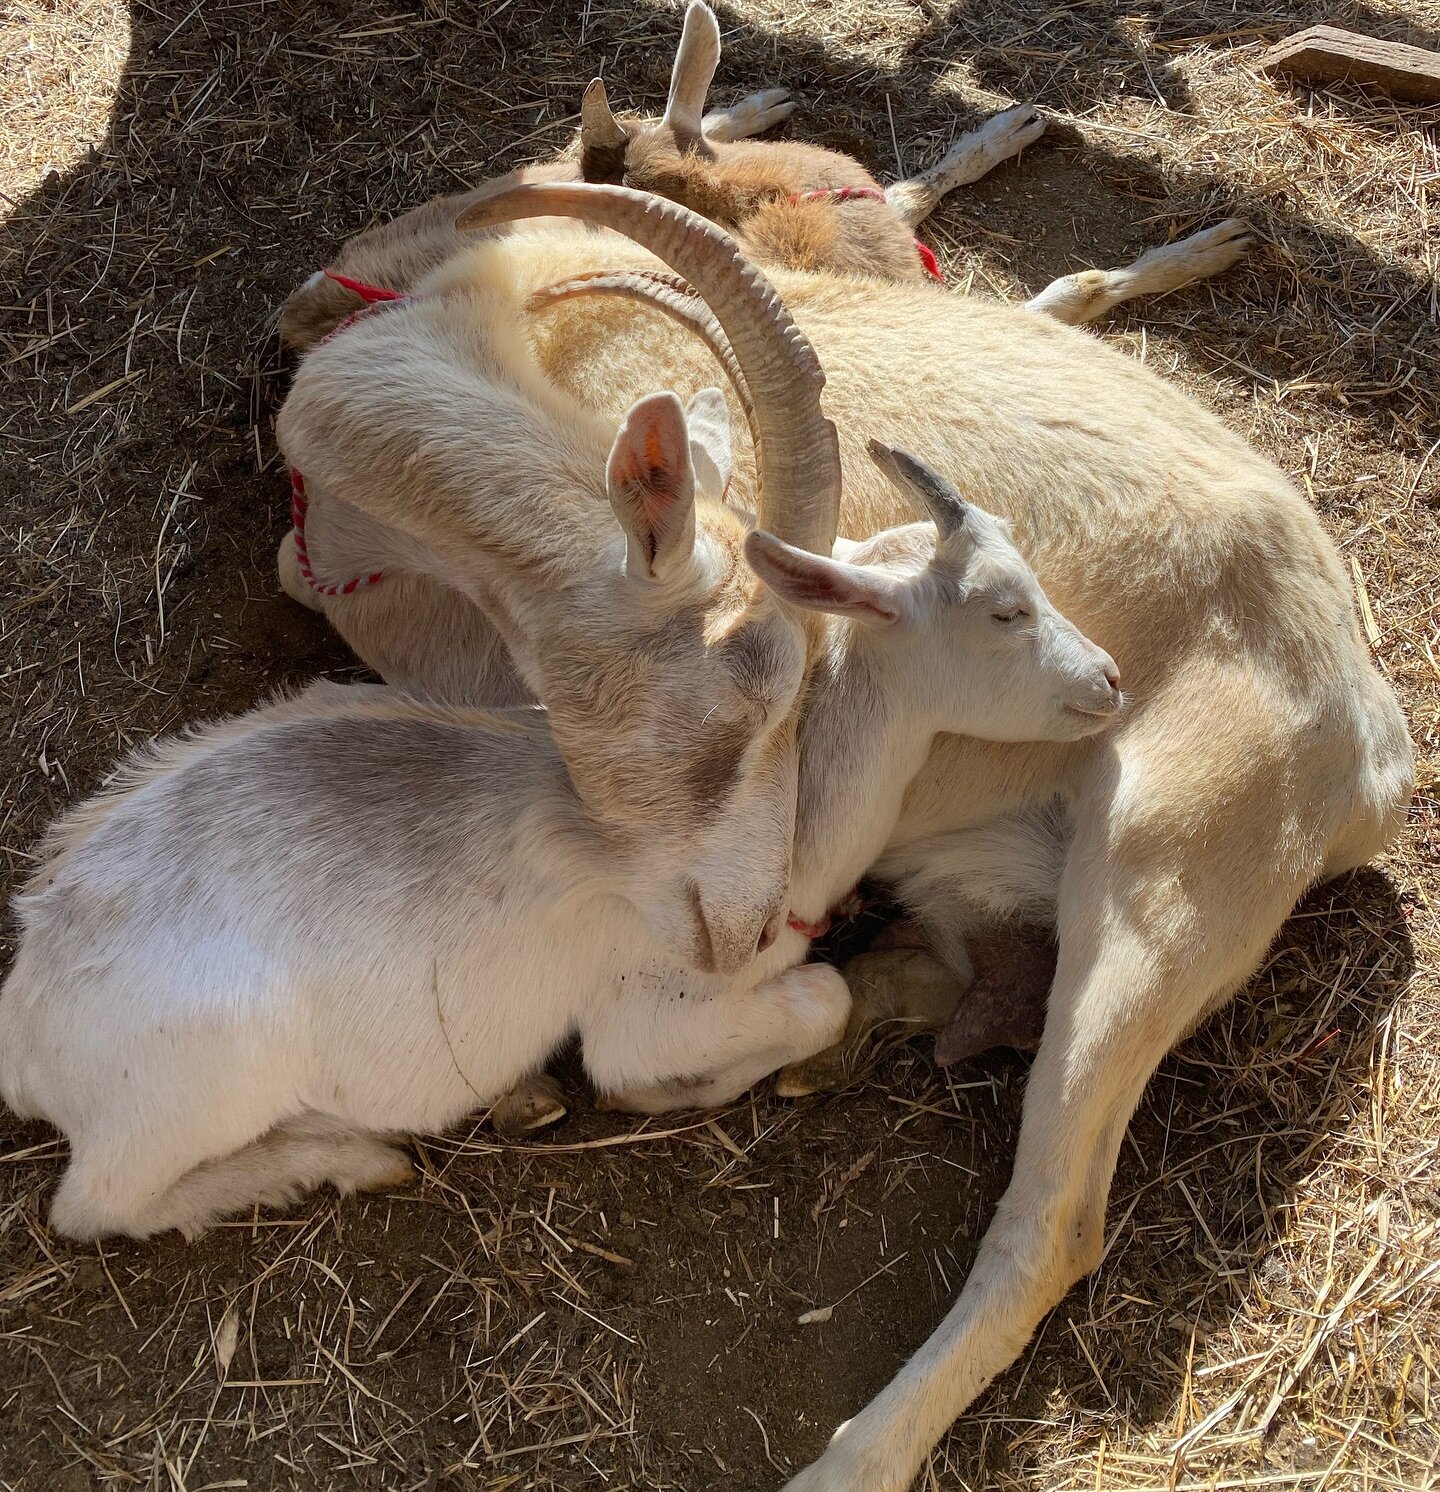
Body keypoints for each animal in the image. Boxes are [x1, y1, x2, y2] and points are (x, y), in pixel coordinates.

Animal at [0, 447, 1116, 1241]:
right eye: (1003, 609)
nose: (1108, 681)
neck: (781, 844)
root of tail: (27, 1009)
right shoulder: (643, 1008)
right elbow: (809, 1003)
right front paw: (678, 1088)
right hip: (182, 1102)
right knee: (94, 1207)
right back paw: (352, 1155)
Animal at [273, 186, 1414, 1492]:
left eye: (798, 695)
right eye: (757, 692)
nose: (759, 923)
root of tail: (1374, 750)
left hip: (1165, 872)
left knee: (1057, 1221)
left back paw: (852, 1455)